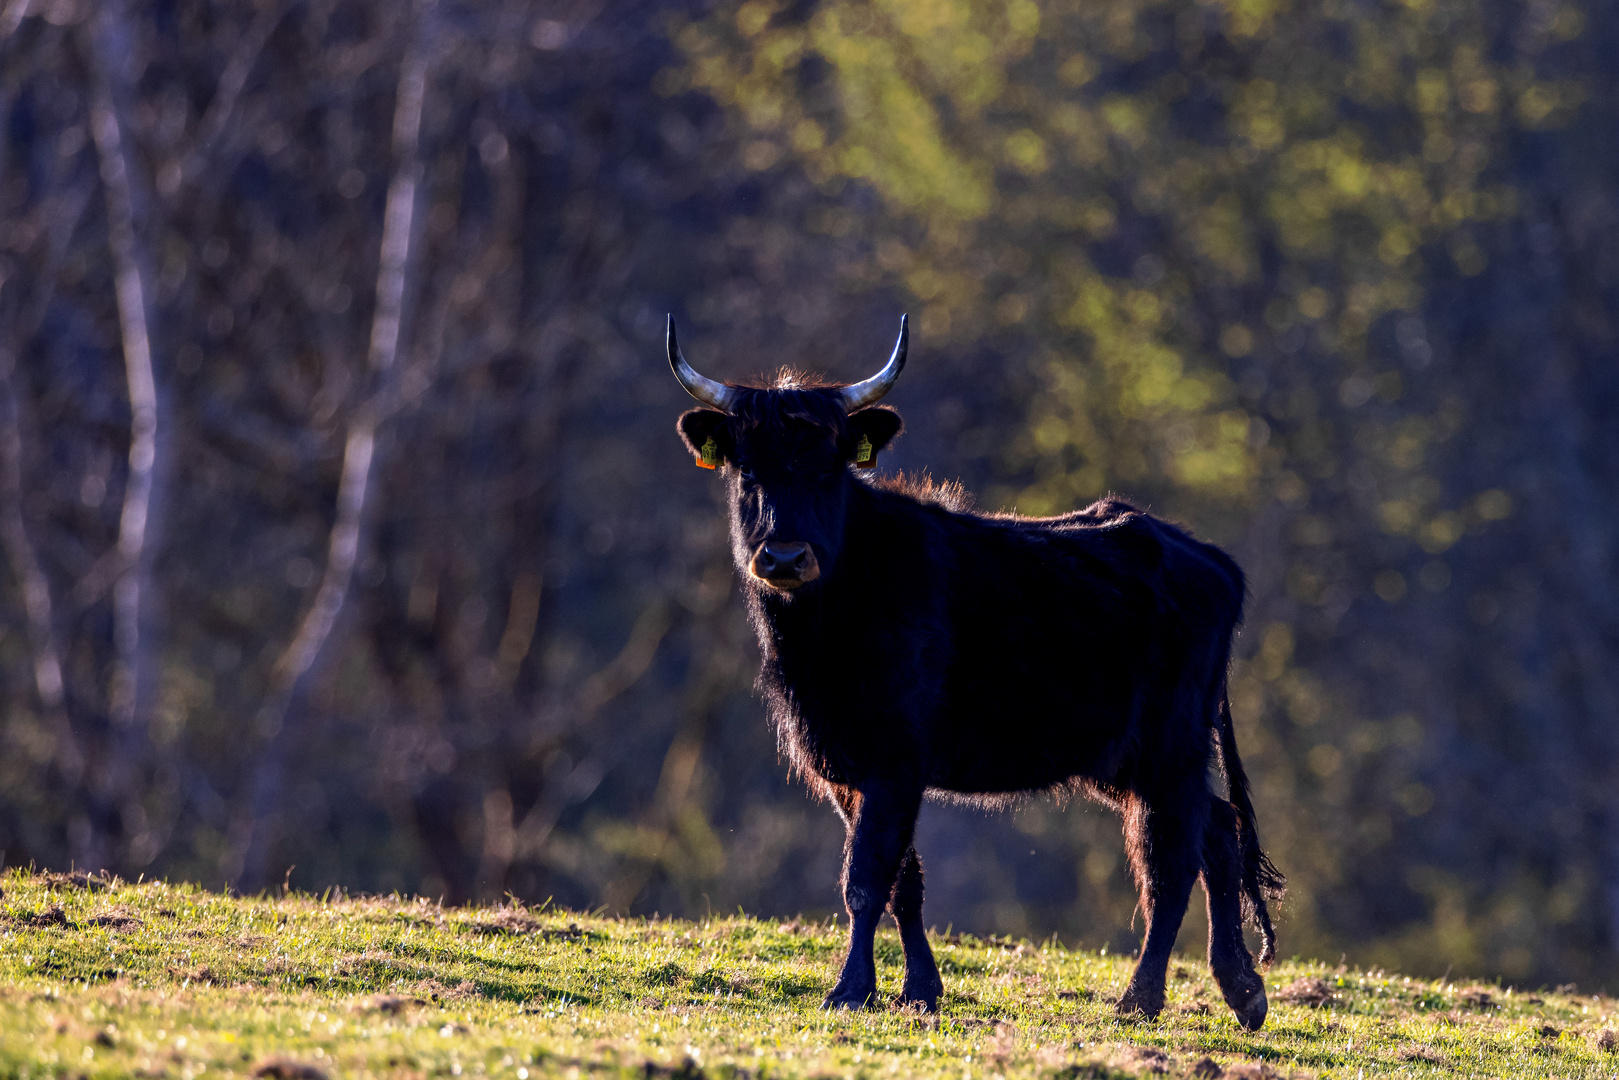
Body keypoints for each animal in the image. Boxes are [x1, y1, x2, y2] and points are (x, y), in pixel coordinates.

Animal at [663, 314, 1282, 1029]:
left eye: (829, 467)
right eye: (748, 470)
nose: (785, 557)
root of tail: (1206, 556)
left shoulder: (896, 759)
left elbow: (866, 877)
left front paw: (850, 990)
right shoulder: (849, 768)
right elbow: (904, 882)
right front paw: (919, 990)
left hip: (1168, 749)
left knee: (1172, 861)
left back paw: (1140, 1000)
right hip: (1130, 758)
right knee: (1218, 827)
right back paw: (1243, 989)